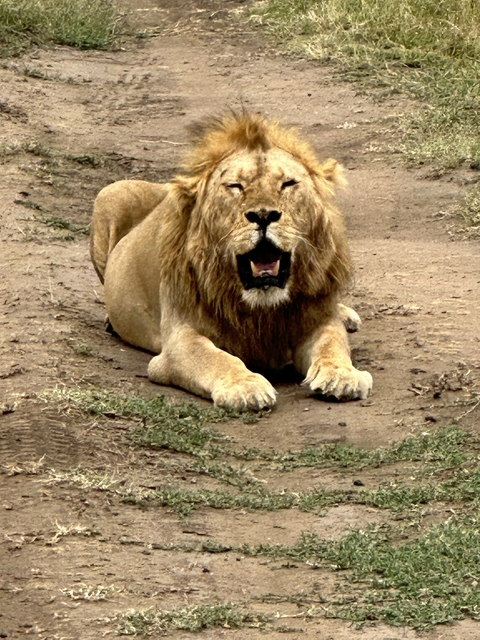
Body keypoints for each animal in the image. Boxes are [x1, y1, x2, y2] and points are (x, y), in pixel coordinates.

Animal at [90, 112, 372, 410]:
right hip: (110, 194)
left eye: (287, 184)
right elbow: (216, 358)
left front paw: (343, 375)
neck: (261, 309)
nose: (263, 215)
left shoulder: (315, 319)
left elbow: (332, 342)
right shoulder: (179, 340)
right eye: (236, 186)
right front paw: (245, 386)